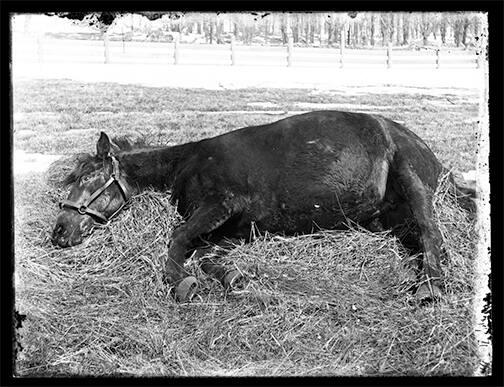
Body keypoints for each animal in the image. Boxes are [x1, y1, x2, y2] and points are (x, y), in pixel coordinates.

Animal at [52, 110, 476, 302]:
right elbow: (205, 255)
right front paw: (234, 278)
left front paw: (180, 282)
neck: (188, 162)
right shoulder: (236, 228)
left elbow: (178, 238)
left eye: (88, 178)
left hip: (412, 177)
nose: (58, 233)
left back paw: (430, 286)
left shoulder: (220, 204)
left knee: (430, 231)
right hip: (385, 214)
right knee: (419, 236)